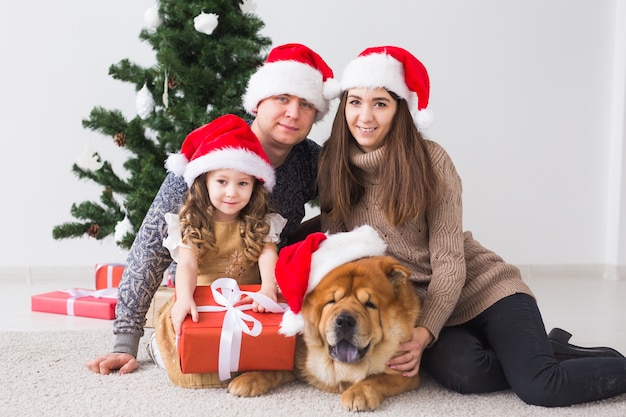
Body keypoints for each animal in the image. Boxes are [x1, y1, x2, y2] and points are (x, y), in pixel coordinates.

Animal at [225, 255, 420, 412]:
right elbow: (277, 368)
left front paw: (358, 393)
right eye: (332, 301)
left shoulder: (406, 372)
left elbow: (377, 378)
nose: (345, 320)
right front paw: (249, 379)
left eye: (370, 304)